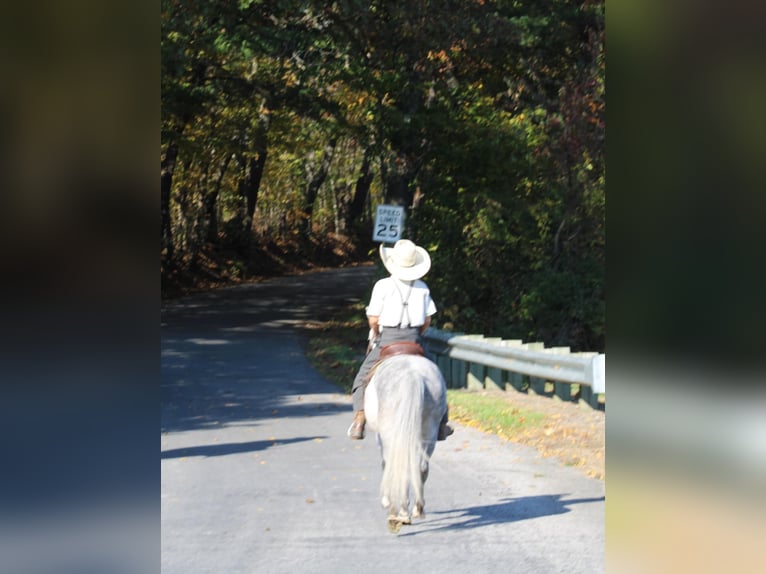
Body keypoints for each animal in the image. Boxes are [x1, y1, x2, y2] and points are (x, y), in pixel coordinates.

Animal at [366, 356, 450, 536]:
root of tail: (413, 376)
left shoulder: (380, 438)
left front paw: (386, 501)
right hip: (429, 431)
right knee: (422, 467)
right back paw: (417, 509)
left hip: (391, 433)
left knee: (397, 467)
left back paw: (398, 514)